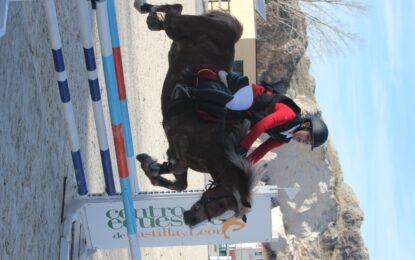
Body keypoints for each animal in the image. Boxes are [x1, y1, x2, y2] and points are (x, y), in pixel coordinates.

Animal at [134, 3, 260, 228]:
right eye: (220, 202)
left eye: (224, 212)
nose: (190, 220)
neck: (213, 150)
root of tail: (231, 31)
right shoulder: (177, 136)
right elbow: (177, 166)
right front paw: (153, 167)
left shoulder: (175, 150)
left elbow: (180, 183)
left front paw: (151, 166)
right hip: (176, 27)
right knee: (174, 9)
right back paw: (144, 8)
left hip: (177, 36)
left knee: (173, 12)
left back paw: (153, 20)